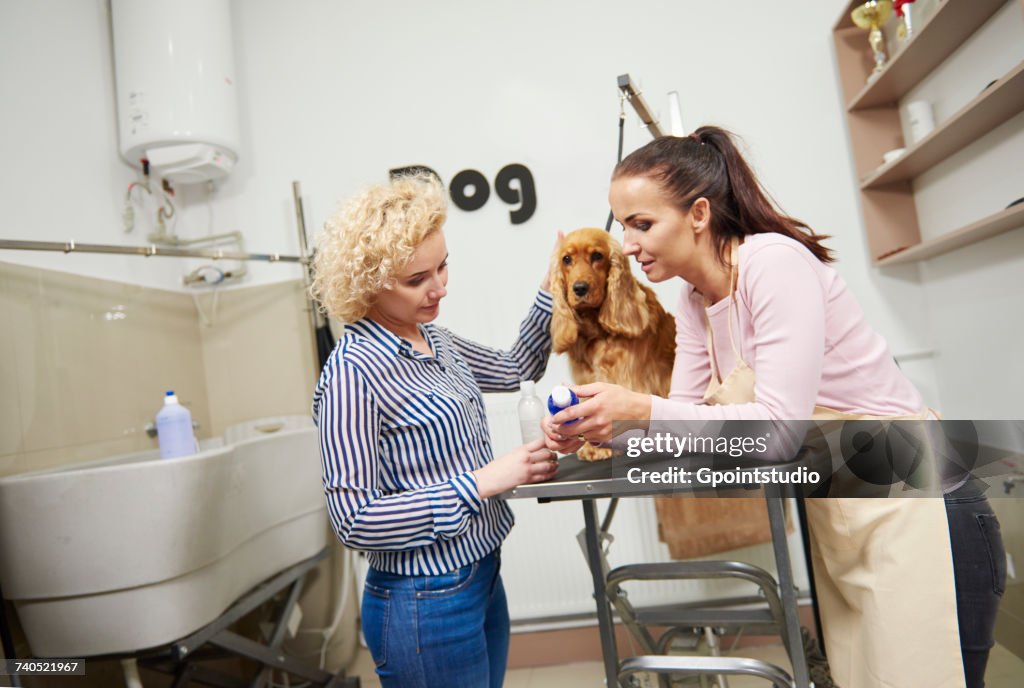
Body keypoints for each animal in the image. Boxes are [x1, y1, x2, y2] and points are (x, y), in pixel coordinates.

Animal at [548, 227, 675, 462]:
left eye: (597, 256)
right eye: (566, 259)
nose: (580, 288)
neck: (596, 332)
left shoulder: (627, 377)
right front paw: (593, 447)